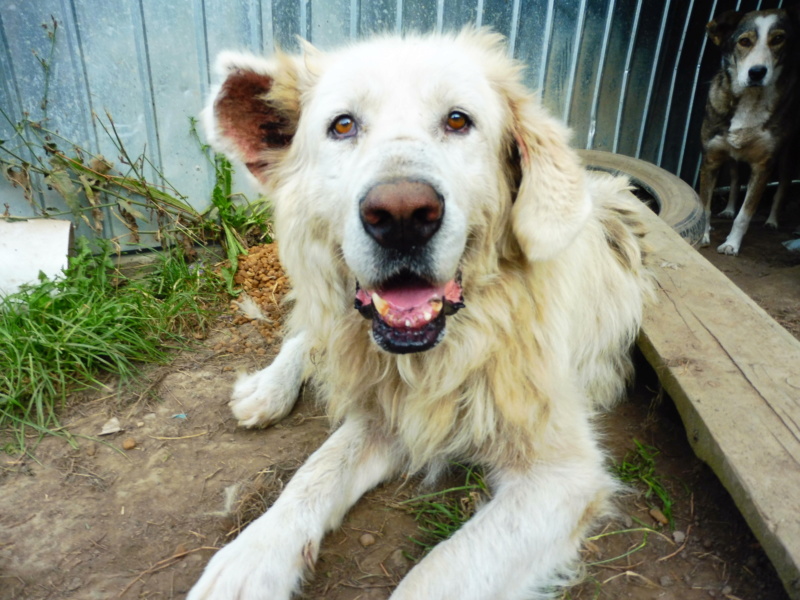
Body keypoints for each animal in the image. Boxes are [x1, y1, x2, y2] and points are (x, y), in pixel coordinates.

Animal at [191, 29, 652, 600]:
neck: (452, 349)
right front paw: (249, 556)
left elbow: (436, 572)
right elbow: (315, 473)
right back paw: (266, 390)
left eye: (458, 120)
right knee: (310, 337)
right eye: (342, 125)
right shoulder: (383, 411)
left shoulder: (562, 474)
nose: (402, 215)